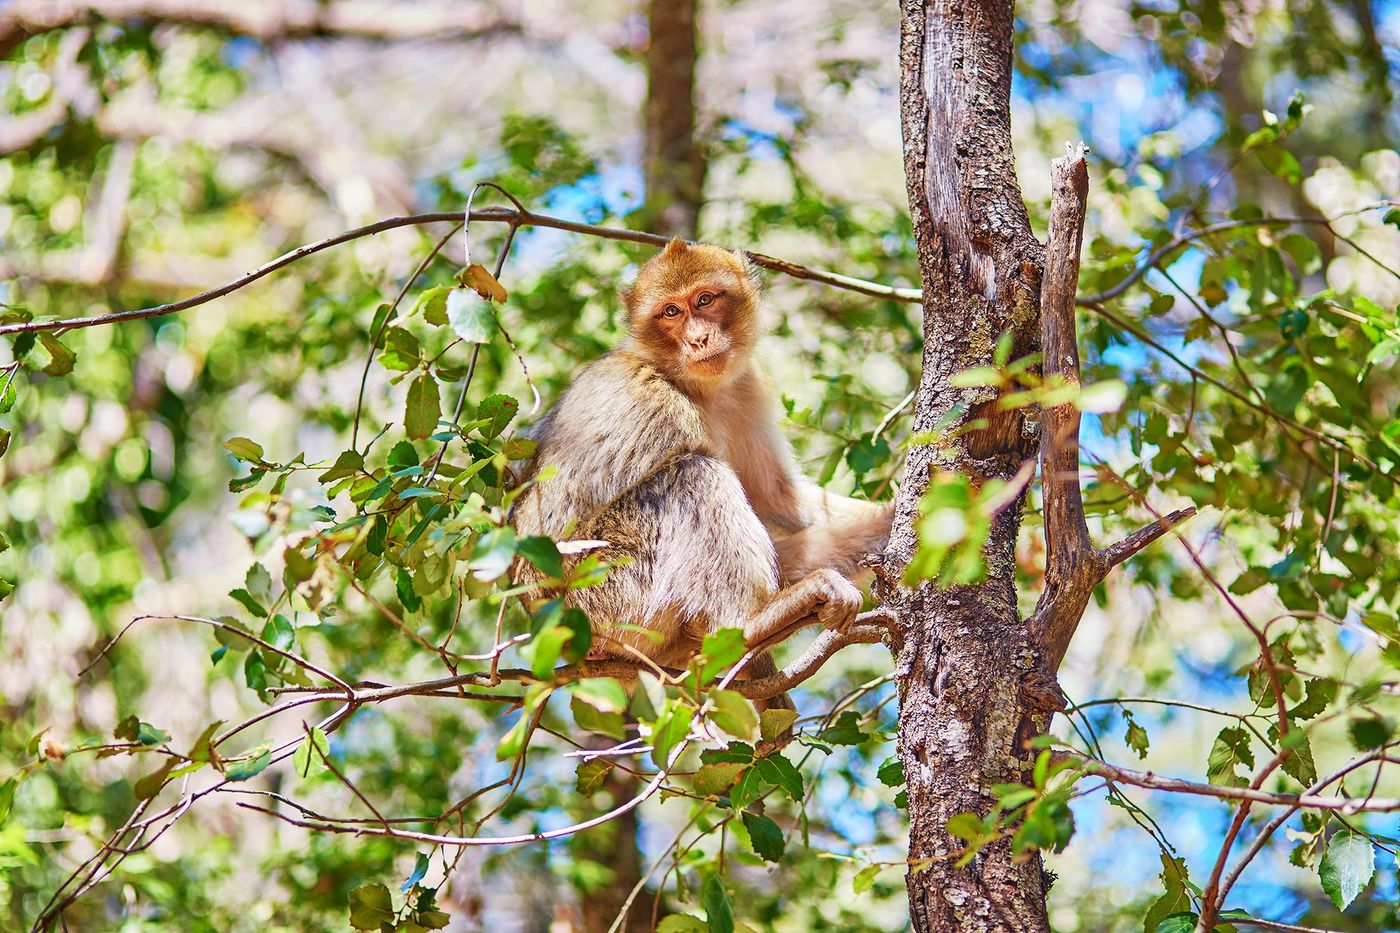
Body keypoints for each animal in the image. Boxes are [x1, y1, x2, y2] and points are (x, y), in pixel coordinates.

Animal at [510, 237, 893, 689]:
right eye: (671, 312)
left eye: (705, 300)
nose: (698, 339)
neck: (690, 384)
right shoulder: (655, 404)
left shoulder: (746, 386)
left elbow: (780, 499)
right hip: (602, 595)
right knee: (691, 473)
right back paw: (751, 622)